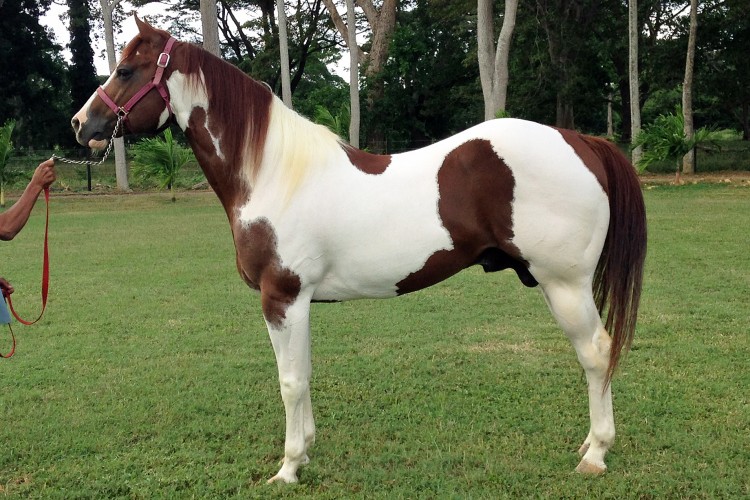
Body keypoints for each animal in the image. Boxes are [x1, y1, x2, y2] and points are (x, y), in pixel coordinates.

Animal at [71, 17, 646, 484]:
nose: (81, 124)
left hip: (565, 284)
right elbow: (304, 375)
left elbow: (290, 381)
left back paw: (595, 455)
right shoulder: (297, 304)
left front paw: (288, 467)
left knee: (596, 353)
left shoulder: (282, 298)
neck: (272, 173)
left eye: (127, 70)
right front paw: (304, 452)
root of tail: (581, 141)